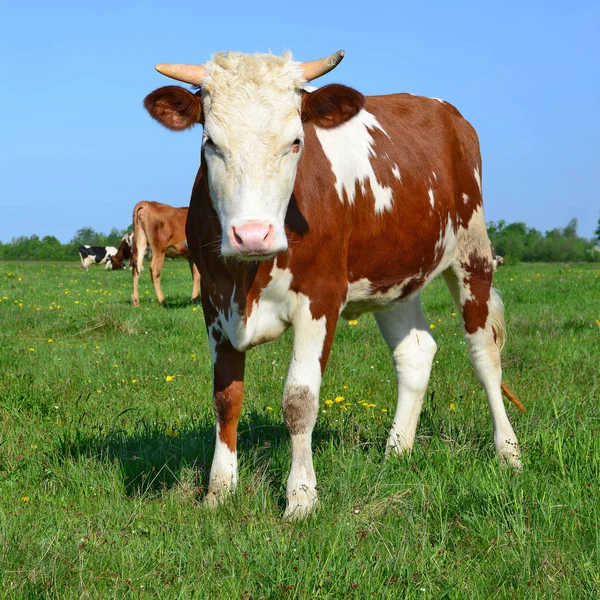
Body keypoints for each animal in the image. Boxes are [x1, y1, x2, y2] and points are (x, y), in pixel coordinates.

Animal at [144, 52, 524, 520]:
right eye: (210, 143)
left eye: (295, 141)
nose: (252, 235)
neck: (248, 279)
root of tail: (446, 112)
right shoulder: (215, 306)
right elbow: (226, 398)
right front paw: (219, 490)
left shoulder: (320, 299)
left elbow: (299, 401)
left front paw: (301, 498)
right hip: (394, 277)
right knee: (416, 353)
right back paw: (397, 450)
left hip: (473, 252)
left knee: (485, 355)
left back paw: (508, 452)